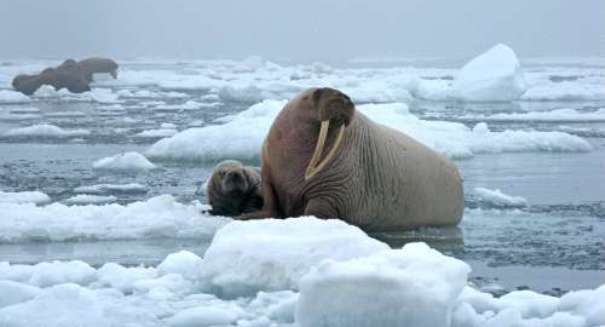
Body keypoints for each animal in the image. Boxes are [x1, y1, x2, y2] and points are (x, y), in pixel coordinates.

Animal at [241, 86, 462, 232]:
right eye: (317, 93)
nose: (344, 97)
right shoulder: (269, 172)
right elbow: (270, 201)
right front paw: (246, 215)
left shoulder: (333, 190)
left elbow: (317, 210)